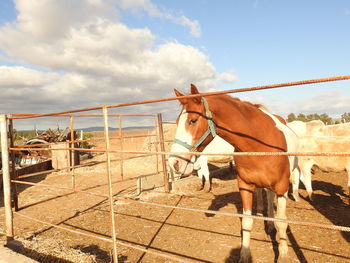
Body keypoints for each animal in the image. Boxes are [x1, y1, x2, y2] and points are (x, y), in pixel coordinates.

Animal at [169, 84, 298, 263]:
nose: (174, 162)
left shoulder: (281, 187)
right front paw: (244, 255)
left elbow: (282, 222)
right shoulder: (244, 185)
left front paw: (283, 254)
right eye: (176, 122)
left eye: (193, 120)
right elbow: (247, 222)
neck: (259, 144)